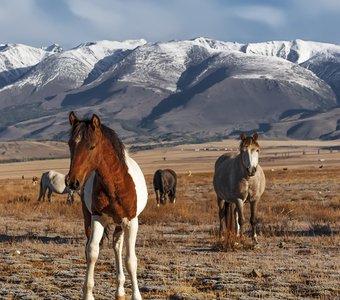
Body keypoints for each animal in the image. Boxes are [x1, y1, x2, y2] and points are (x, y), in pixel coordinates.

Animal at [65, 111, 147, 300]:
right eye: (70, 144)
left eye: (92, 146)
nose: (72, 182)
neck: (115, 184)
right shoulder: (97, 218)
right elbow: (92, 252)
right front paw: (88, 294)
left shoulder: (131, 222)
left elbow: (130, 260)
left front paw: (136, 295)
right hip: (89, 219)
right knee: (106, 246)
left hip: (120, 224)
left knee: (117, 246)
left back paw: (120, 290)